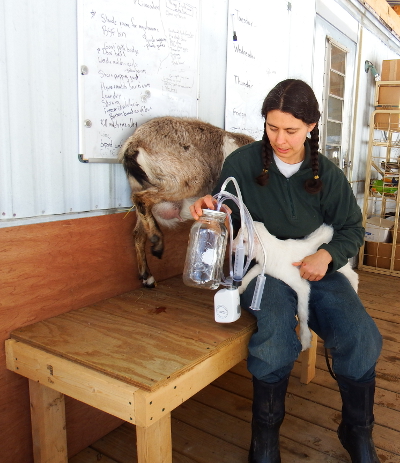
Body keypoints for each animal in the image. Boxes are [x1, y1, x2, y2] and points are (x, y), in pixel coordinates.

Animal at [118, 117, 253, 286]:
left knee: (137, 231)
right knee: (141, 199)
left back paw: (147, 276)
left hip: (141, 186)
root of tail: (135, 142)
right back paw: (157, 242)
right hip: (188, 179)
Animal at [234, 222, 360, 352]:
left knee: (353, 275)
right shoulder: (263, 267)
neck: (273, 250)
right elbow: (252, 272)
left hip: (340, 265)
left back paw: (355, 290)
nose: (233, 248)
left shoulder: (300, 285)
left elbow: (302, 313)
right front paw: (239, 288)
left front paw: (305, 339)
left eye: (244, 241)